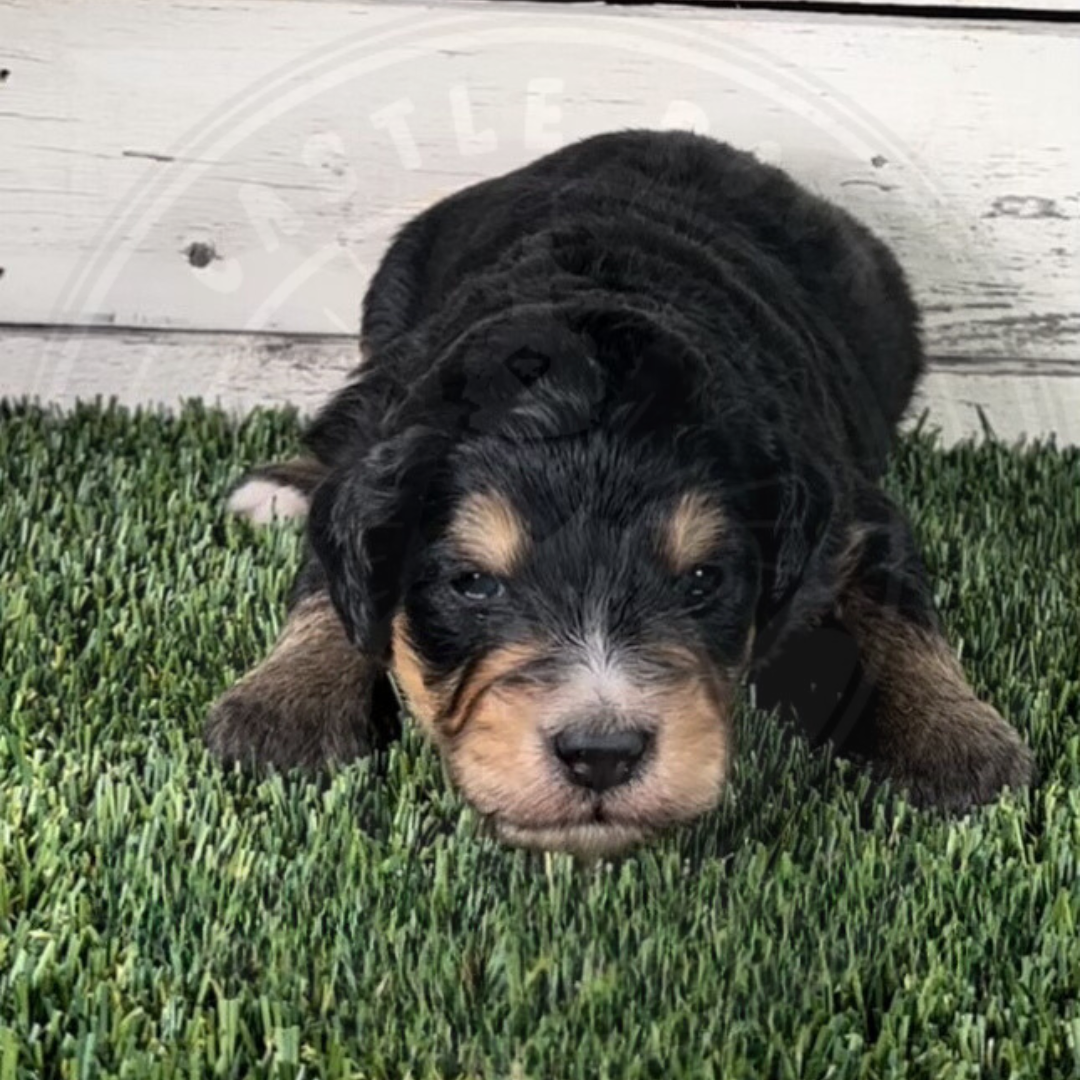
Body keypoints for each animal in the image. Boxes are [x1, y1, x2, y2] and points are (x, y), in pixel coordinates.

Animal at [206, 128, 1032, 851]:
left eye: (701, 580)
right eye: (473, 584)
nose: (601, 754)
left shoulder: (851, 511)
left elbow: (901, 620)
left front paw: (957, 742)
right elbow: (330, 577)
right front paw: (285, 706)